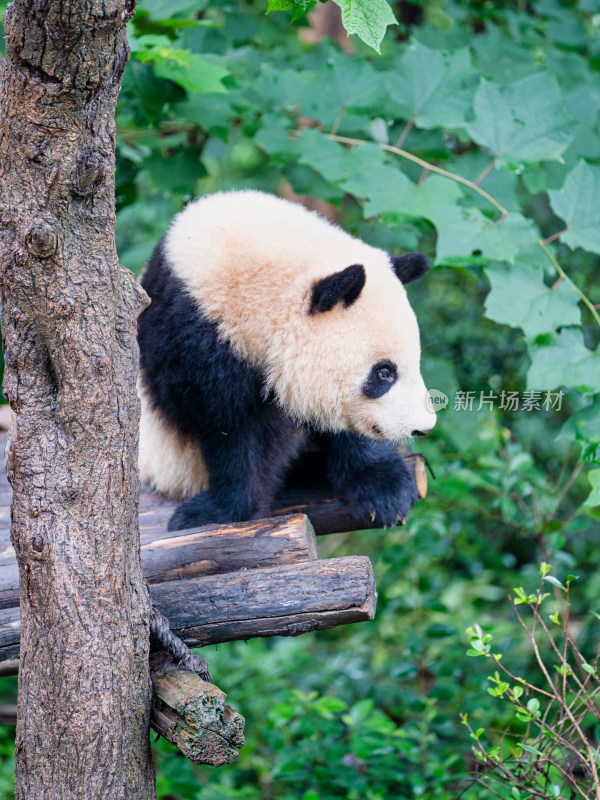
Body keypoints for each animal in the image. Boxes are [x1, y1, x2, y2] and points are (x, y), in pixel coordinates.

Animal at [137, 191, 436, 536]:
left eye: (414, 361)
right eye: (384, 373)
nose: (423, 427)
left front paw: (384, 491)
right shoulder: (197, 339)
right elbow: (232, 429)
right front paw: (218, 512)